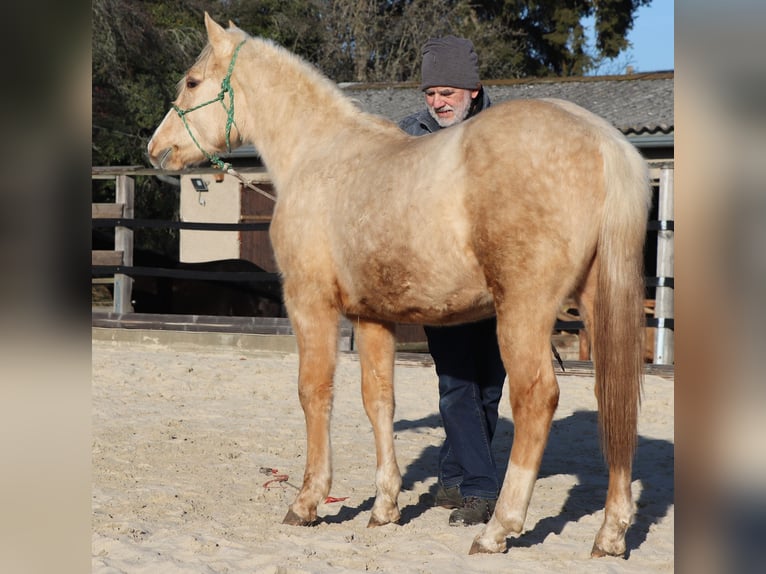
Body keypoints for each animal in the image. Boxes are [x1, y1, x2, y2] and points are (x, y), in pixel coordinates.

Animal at [148, 14, 650, 557]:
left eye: (192, 82)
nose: (155, 149)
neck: (318, 154)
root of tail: (605, 143)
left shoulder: (310, 303)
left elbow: (314, 392)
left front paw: (307, 503)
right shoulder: (373, 316)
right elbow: (379, 401)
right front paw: (384, 508)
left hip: (525, 311)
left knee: (537, 398)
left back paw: (497, 528)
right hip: (597, 305)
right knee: (613, 400)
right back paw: (610, 534)